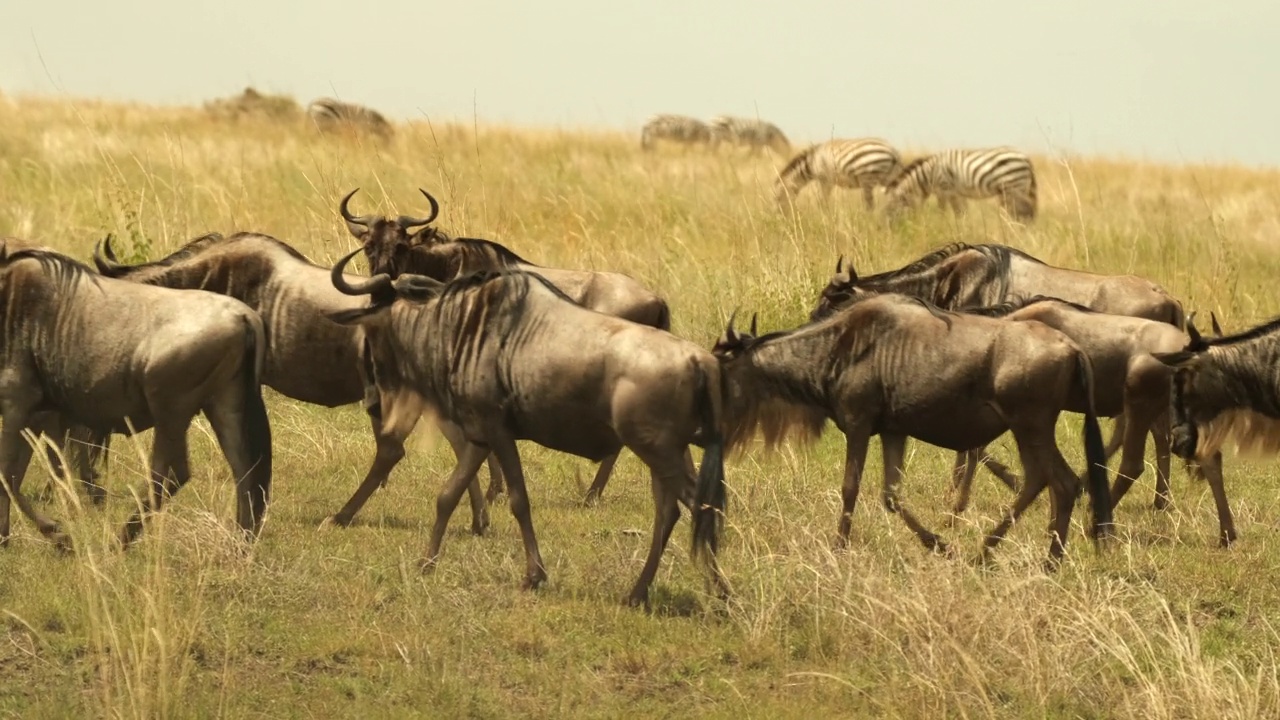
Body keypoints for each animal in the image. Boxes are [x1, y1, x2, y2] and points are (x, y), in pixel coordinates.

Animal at [773, 137, 906, 208]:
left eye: (778, 198)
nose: (779, 218)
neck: (812, 162)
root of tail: (894, 152)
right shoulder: (827, 181)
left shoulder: (825, 179)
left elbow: (822, 201)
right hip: (890, 178)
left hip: (868, 179)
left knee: (870, 206)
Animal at [890, 147, 1039, 220]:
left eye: (890, 211)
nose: (890, 231)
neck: (930, 174)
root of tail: (1027, 160)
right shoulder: (956, 193)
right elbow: (961, 212)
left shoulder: (945, 189)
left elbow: (943, 211)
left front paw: (942, 226)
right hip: (1011, 190)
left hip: (1015, 188)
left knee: (1025, 212)